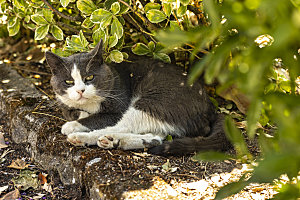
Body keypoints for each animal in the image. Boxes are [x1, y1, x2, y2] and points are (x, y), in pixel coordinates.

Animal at [45, 40, 232, 155]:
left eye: (89, 77)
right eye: (69, 81)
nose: (80, 91)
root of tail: (210, 106)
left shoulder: (118, 106)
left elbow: (97, 118)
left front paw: (73, 125)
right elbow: (73, 111)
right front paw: (77, 115)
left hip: (155, 101)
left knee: (124, 125)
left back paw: (85, 137)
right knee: (157, 136)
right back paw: (117, 141)